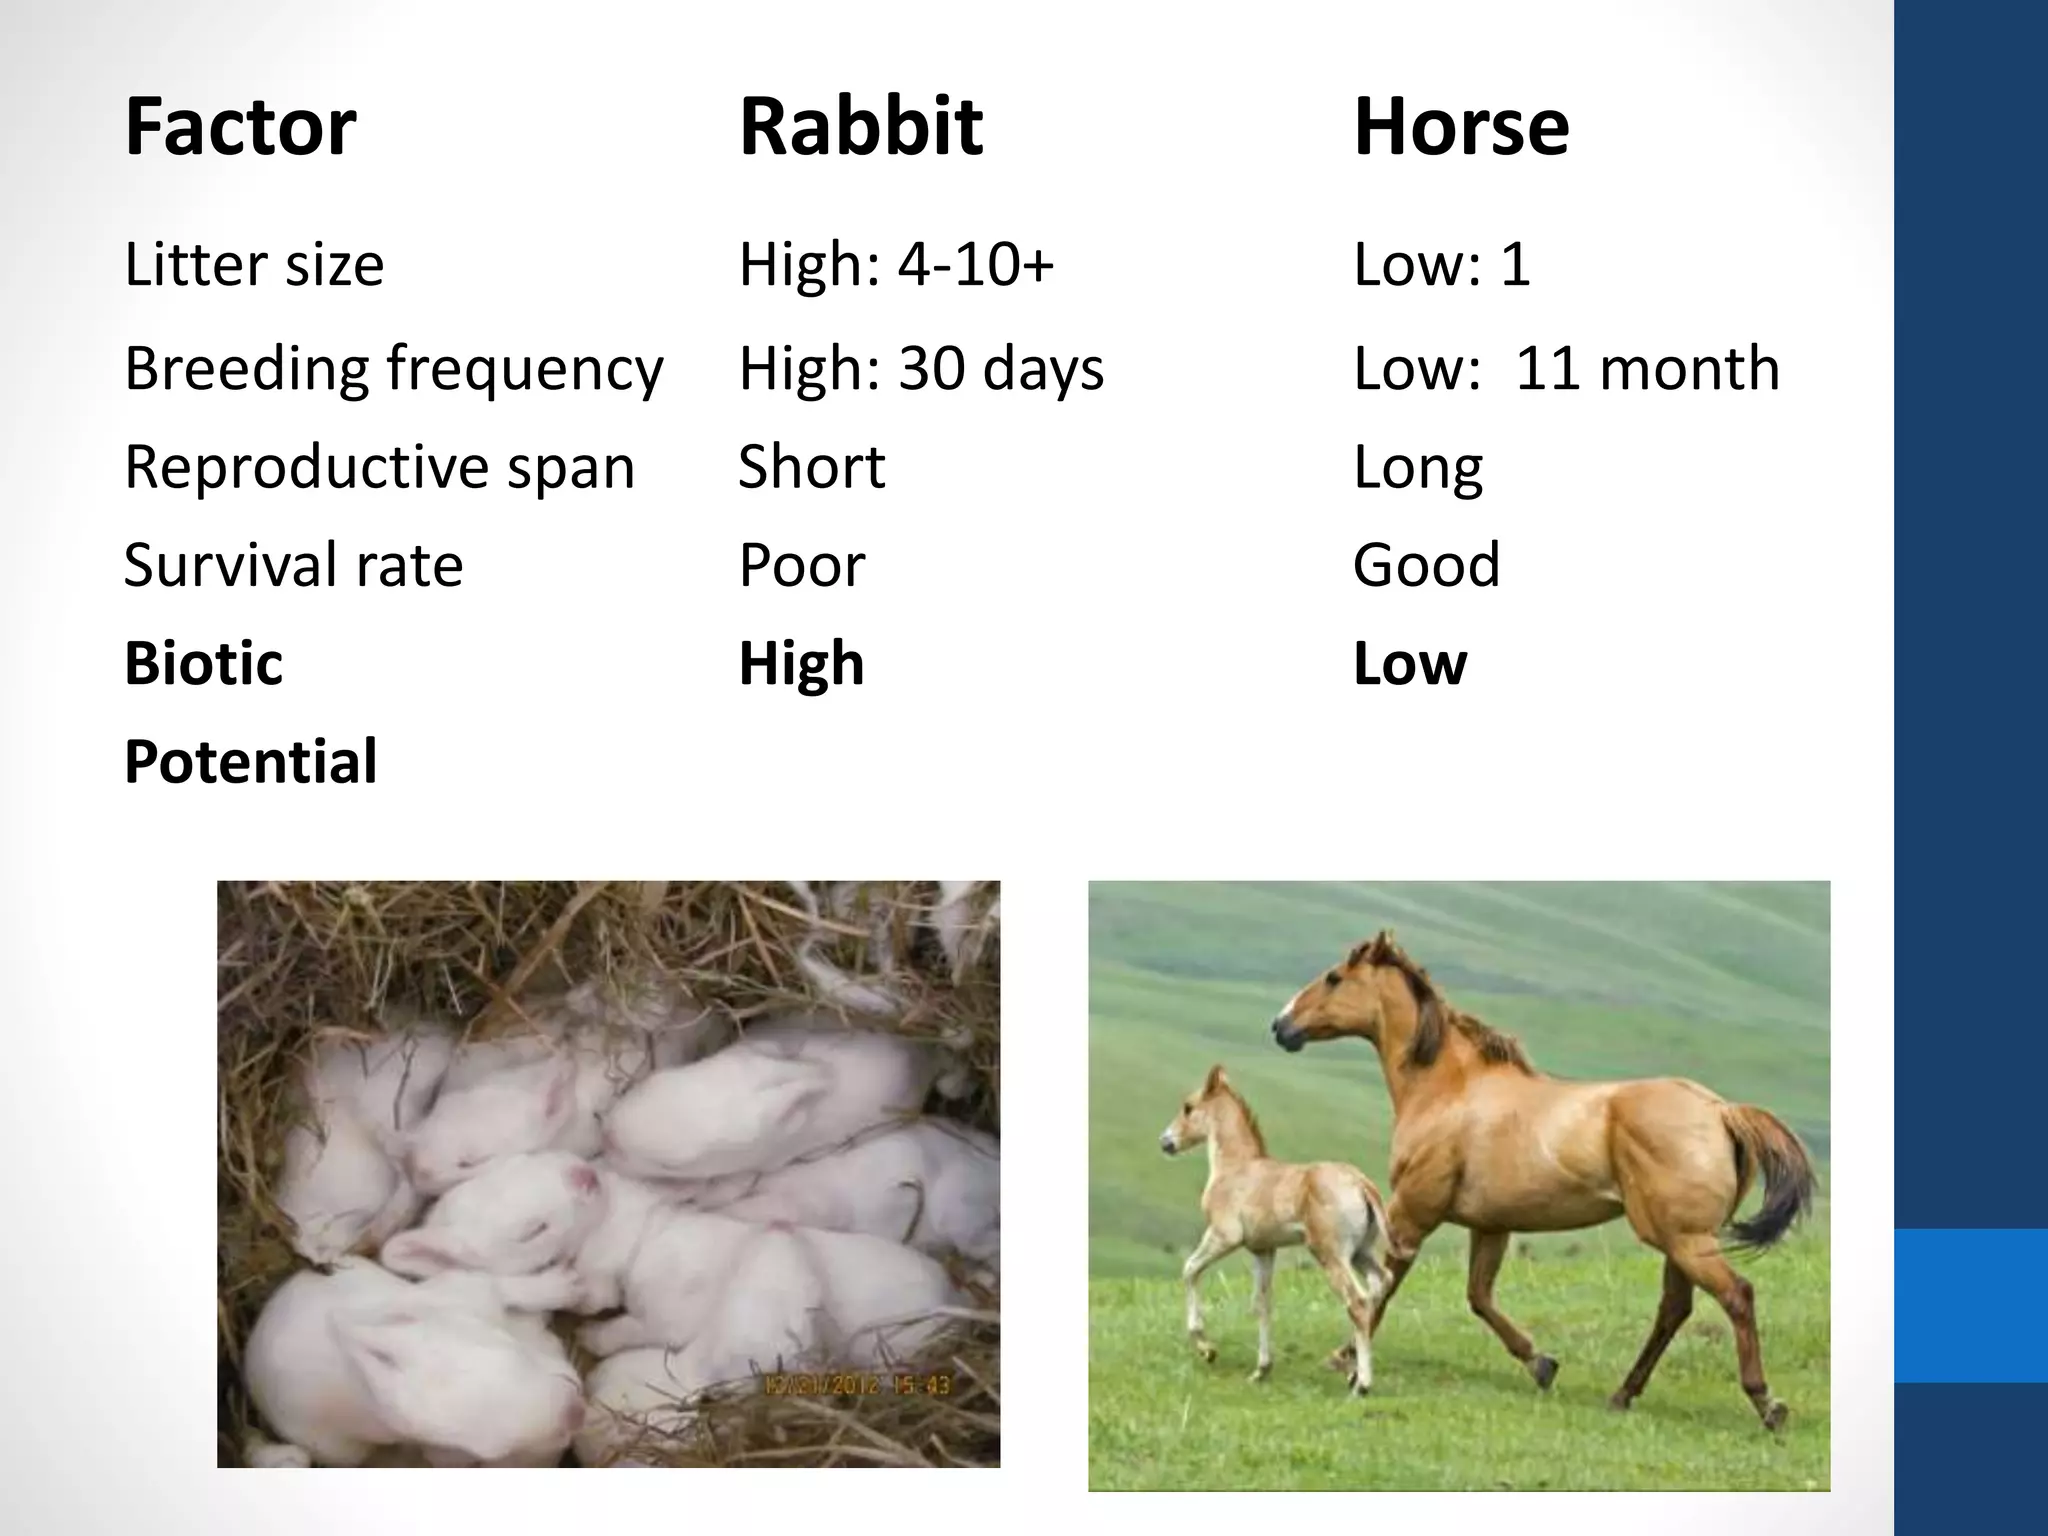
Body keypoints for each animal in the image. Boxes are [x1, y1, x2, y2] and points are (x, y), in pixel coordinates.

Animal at [242, 1258, 585, 1467]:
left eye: (513, 1352)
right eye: (487, 1451)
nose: (576, 1414)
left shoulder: (468, 1288)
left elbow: (502, 1284)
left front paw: (564, 1284)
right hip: (338, 1451)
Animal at [1160, 1064, 1392, 1393]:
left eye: (1188, 1107)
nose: (1166, 1141)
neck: (1235, 1168)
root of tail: (1362, 1184)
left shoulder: (1224, 1236)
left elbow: (1190, 1269)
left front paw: (1207, 1348)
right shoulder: (1263, 1250)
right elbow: (1262, 1304)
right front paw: (1261, 1370)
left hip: (1331, 1255)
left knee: (1357, 1302)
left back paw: (1362, 1383)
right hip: (1361, 1253)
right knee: (1380, 1285)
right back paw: (1351, 1370)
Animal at [1269, 931, 1816, 1430]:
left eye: (1334, 977)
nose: (1280, 1025)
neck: (1447, 1090)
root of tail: (1721, 1110)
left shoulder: (1412, 1213)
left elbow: (1383, 1288)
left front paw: (1344, 1360)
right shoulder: (1490, 1226)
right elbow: (1479, 1297)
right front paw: (1541, 1364)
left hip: (1684, 1239)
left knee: (1736, 1296)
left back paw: (1767, 1403)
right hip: (1678, 1239)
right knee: (1674, 1309)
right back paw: (1623, 1394)